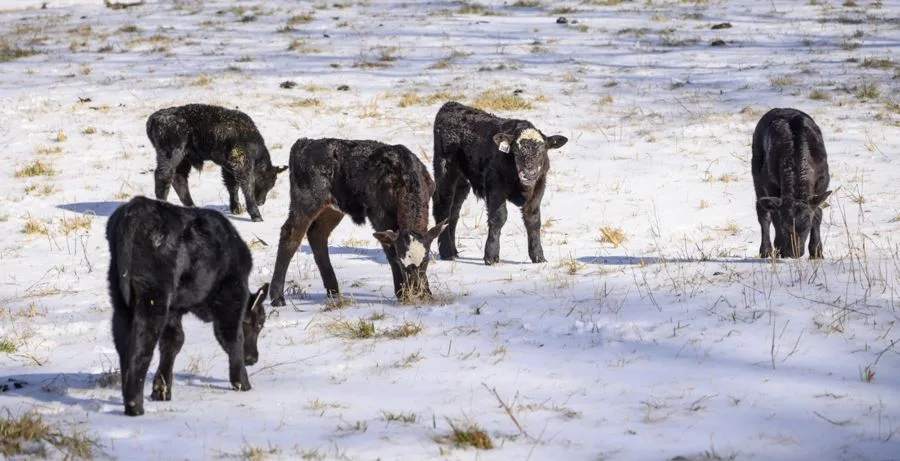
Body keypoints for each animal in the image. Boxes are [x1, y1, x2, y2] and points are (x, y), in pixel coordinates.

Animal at [106, 196, 268, 416]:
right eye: (258, 324)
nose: (253, 358)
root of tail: (137, 207)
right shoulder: (231, 297)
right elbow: (232, 337)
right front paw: (242, 383)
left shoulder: (174, 310)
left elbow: (174, 341)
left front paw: (161, 391)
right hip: (153, 299)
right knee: (141, 349)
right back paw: (135, 406)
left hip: (121, 302)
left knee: (123, 347)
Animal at [146, 103, 288, 222]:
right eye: (268, 182)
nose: (261, 202)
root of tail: (154, 118)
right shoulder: (241, 165)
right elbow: (246, 186)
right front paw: (256, 216)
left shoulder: (228, 167)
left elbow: (232, 186)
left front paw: (236, 209)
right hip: (171, 156)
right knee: (163, 177)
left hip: (183, 160)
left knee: (179, 179)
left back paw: (192, 208)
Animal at [269, 138, 447, 306]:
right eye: (401, 263)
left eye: (425, 261)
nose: (415, 289)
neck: (404, 178)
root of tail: (304, 143)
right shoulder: (379, 215)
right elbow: (390, 252)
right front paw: (401, 294)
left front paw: (427, 294)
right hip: (307, 199)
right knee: (290, 235)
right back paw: (277, 297)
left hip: (333, 207)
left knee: (317, 234)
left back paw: (334, 292)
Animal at [431, 101, 568, 265]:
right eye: (516, 150)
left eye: (542, 151)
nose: (528, 174)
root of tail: (450, 105)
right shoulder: (496, 187)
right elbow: (498, 217)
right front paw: (491, 256)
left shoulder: (538, 188)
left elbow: (533, 220)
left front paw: (538, 256)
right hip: (445, 170)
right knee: (443, 208)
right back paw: (446, 252)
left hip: (462, 181)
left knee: (454, 212)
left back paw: (453, 251)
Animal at [752, 108, 833, 259]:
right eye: (785, 226)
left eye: (806, 226)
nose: (794, 253)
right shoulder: (770, 187)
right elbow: (775, 217)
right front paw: (779, 249)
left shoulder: (821, 184)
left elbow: (818, 213)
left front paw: (817, 252)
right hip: (757, 177)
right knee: (763, 213)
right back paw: (766, 250)